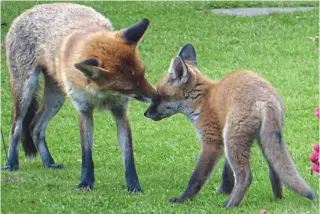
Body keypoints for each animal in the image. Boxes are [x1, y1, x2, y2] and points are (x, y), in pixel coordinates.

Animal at [3, 2, 156, 191]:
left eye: (143, 74)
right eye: (130, 86)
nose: (157, 96)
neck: (101, 94)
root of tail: (27, 11)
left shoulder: (120, 112)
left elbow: (128, 155)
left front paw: (134, 186)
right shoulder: (84, 110)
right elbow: (86, 153)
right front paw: (86, 183)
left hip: (56, 97)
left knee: (35, 127)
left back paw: (49, 163)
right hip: (25, 91)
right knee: (16, 127)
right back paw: (11, 163)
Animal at [144, 43, 316, 207]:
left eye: (158, 95)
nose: (145, 114)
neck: (202, 100)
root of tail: (265, 97)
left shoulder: (212, 142)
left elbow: (197, 177)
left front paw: (183, 199)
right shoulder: (222, 136)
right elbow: (227, 173)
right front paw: (224, 190)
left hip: (234, 139)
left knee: (246, 176)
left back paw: (229, 205)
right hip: (260, 140)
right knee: (275, 170)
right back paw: (277, 198)